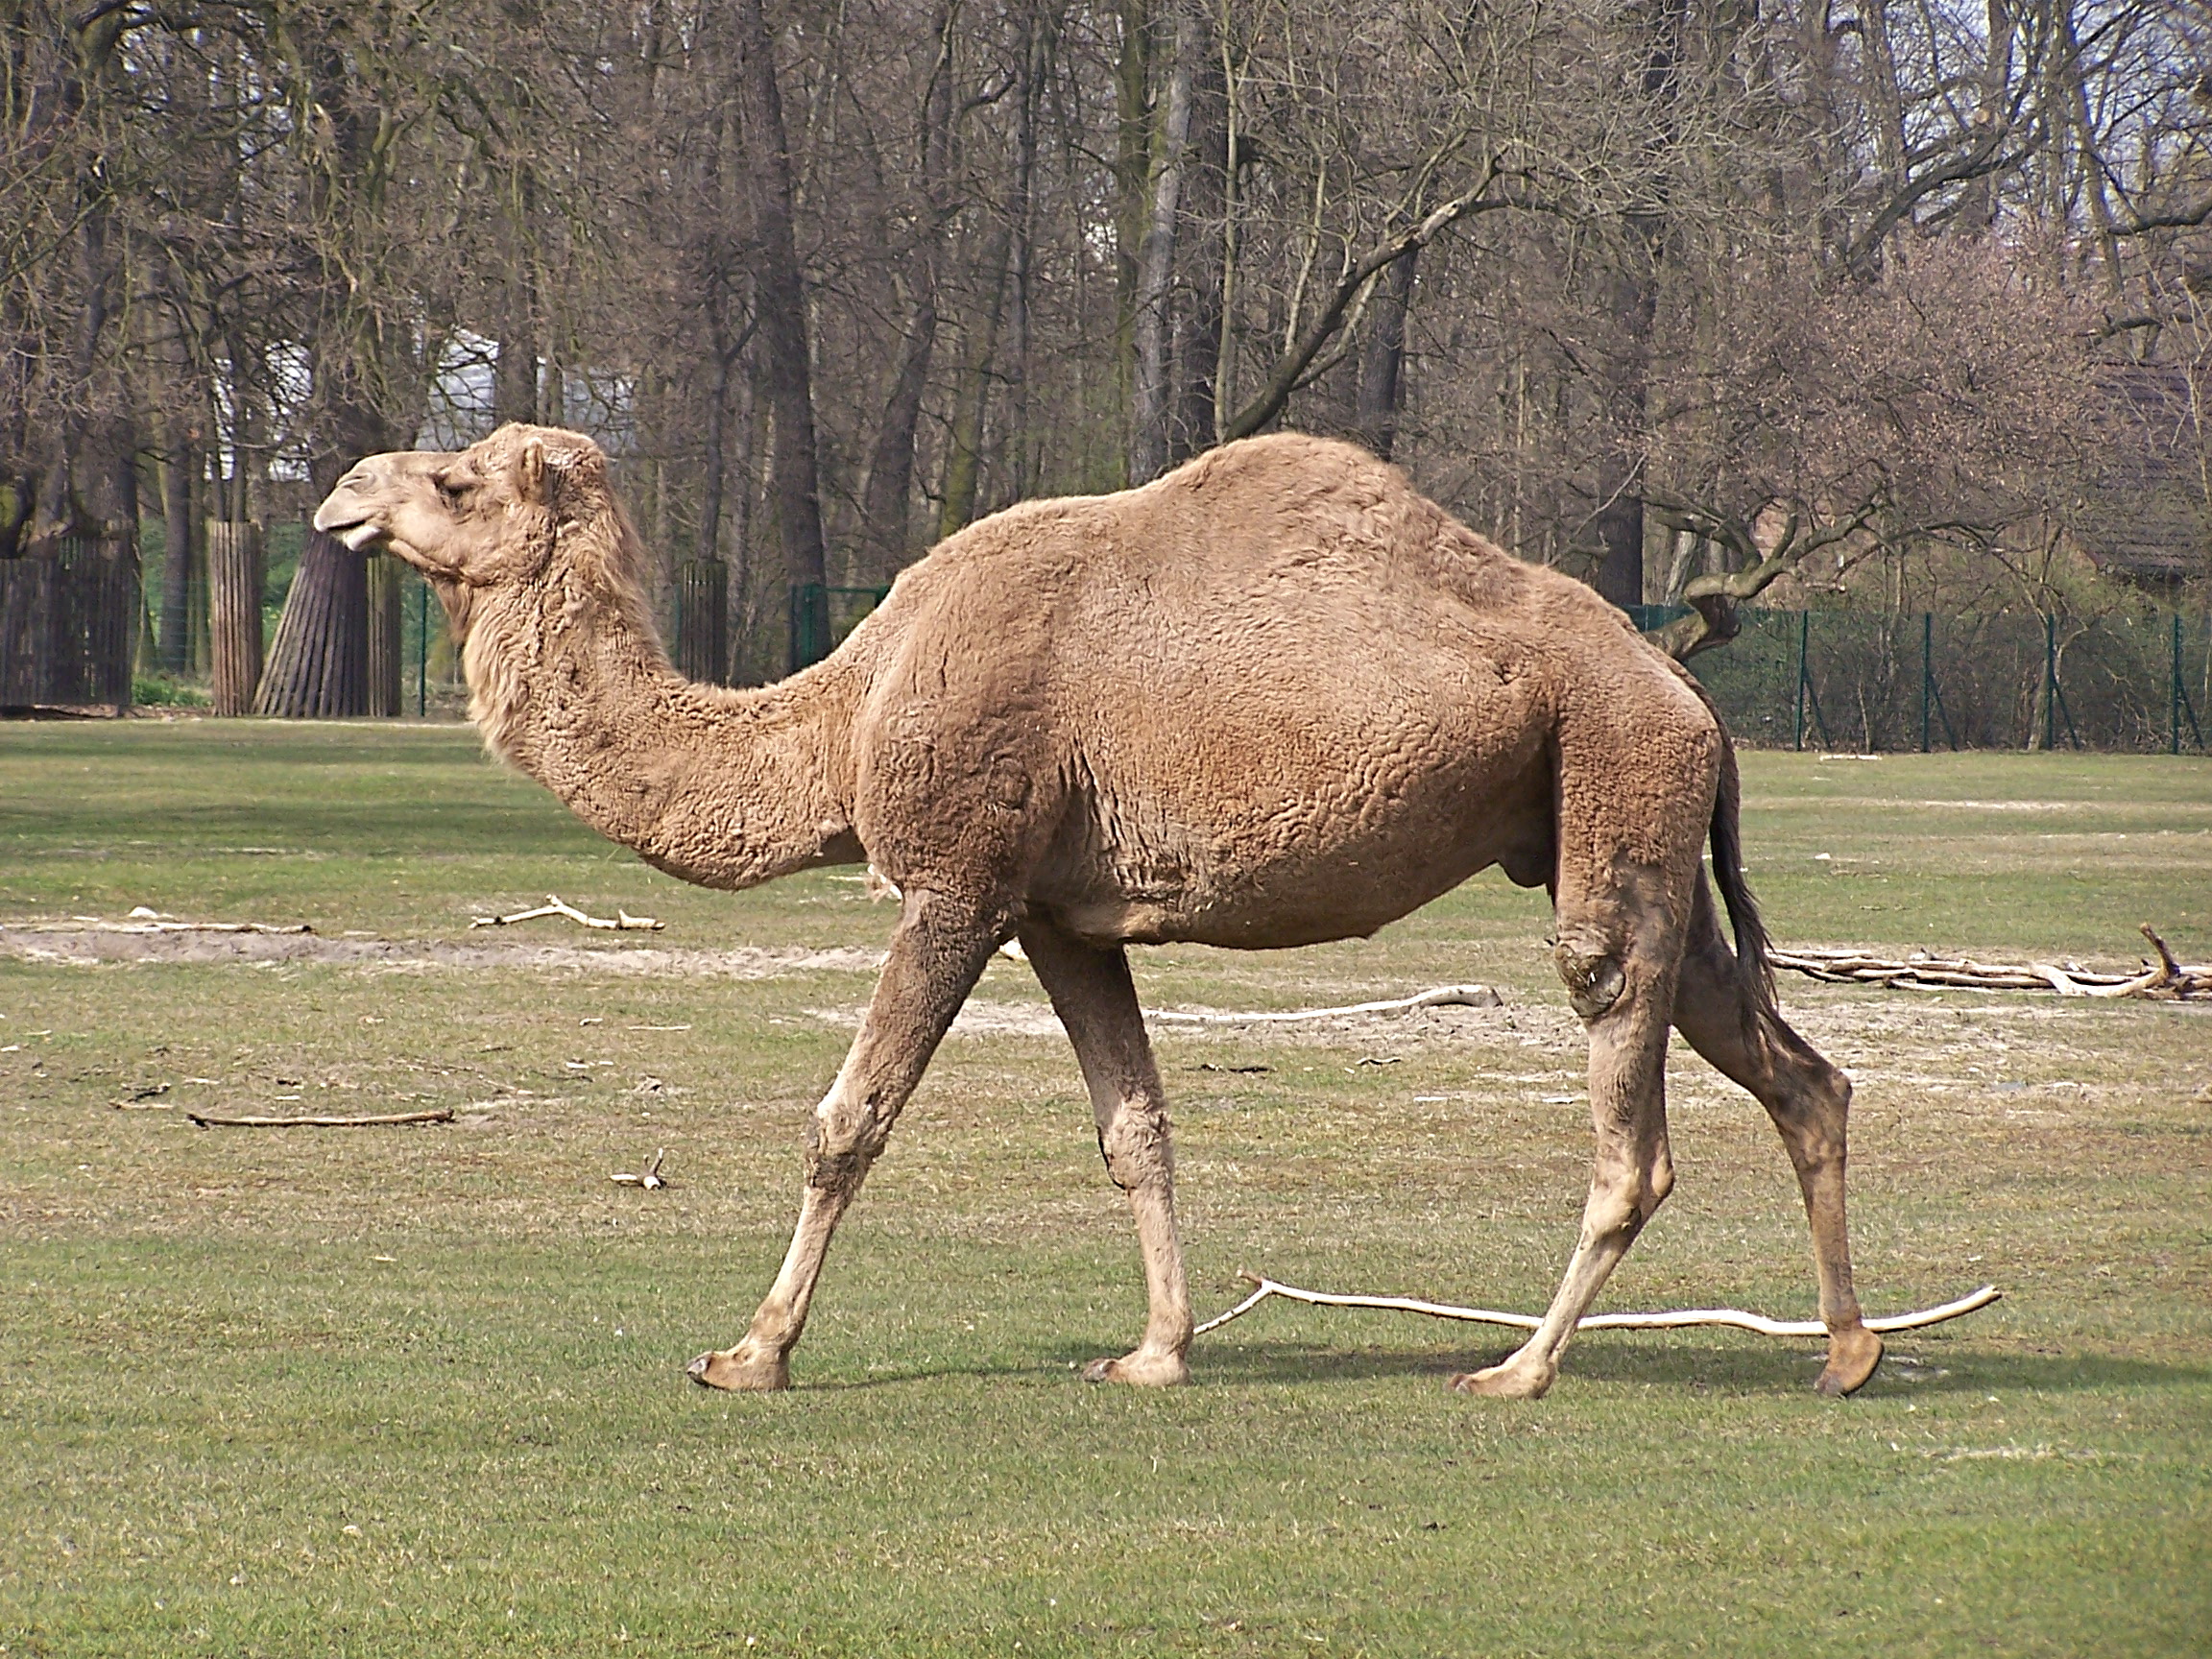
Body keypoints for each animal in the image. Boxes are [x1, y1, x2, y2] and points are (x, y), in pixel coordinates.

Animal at [316, 424, 1885, 1407]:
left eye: (454, 478)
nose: (338, 493)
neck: (845, 711)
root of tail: (1689, 697)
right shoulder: (1061, 915)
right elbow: (1134, 1128)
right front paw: (1157, 1352)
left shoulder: (958, 880)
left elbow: (847, 1123)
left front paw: (750, 1354)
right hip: (1629, 834)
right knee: (1798, 1069)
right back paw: (1849, 1353)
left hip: (1615, 790)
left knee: (1629, 1096)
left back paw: (1519, 1367)